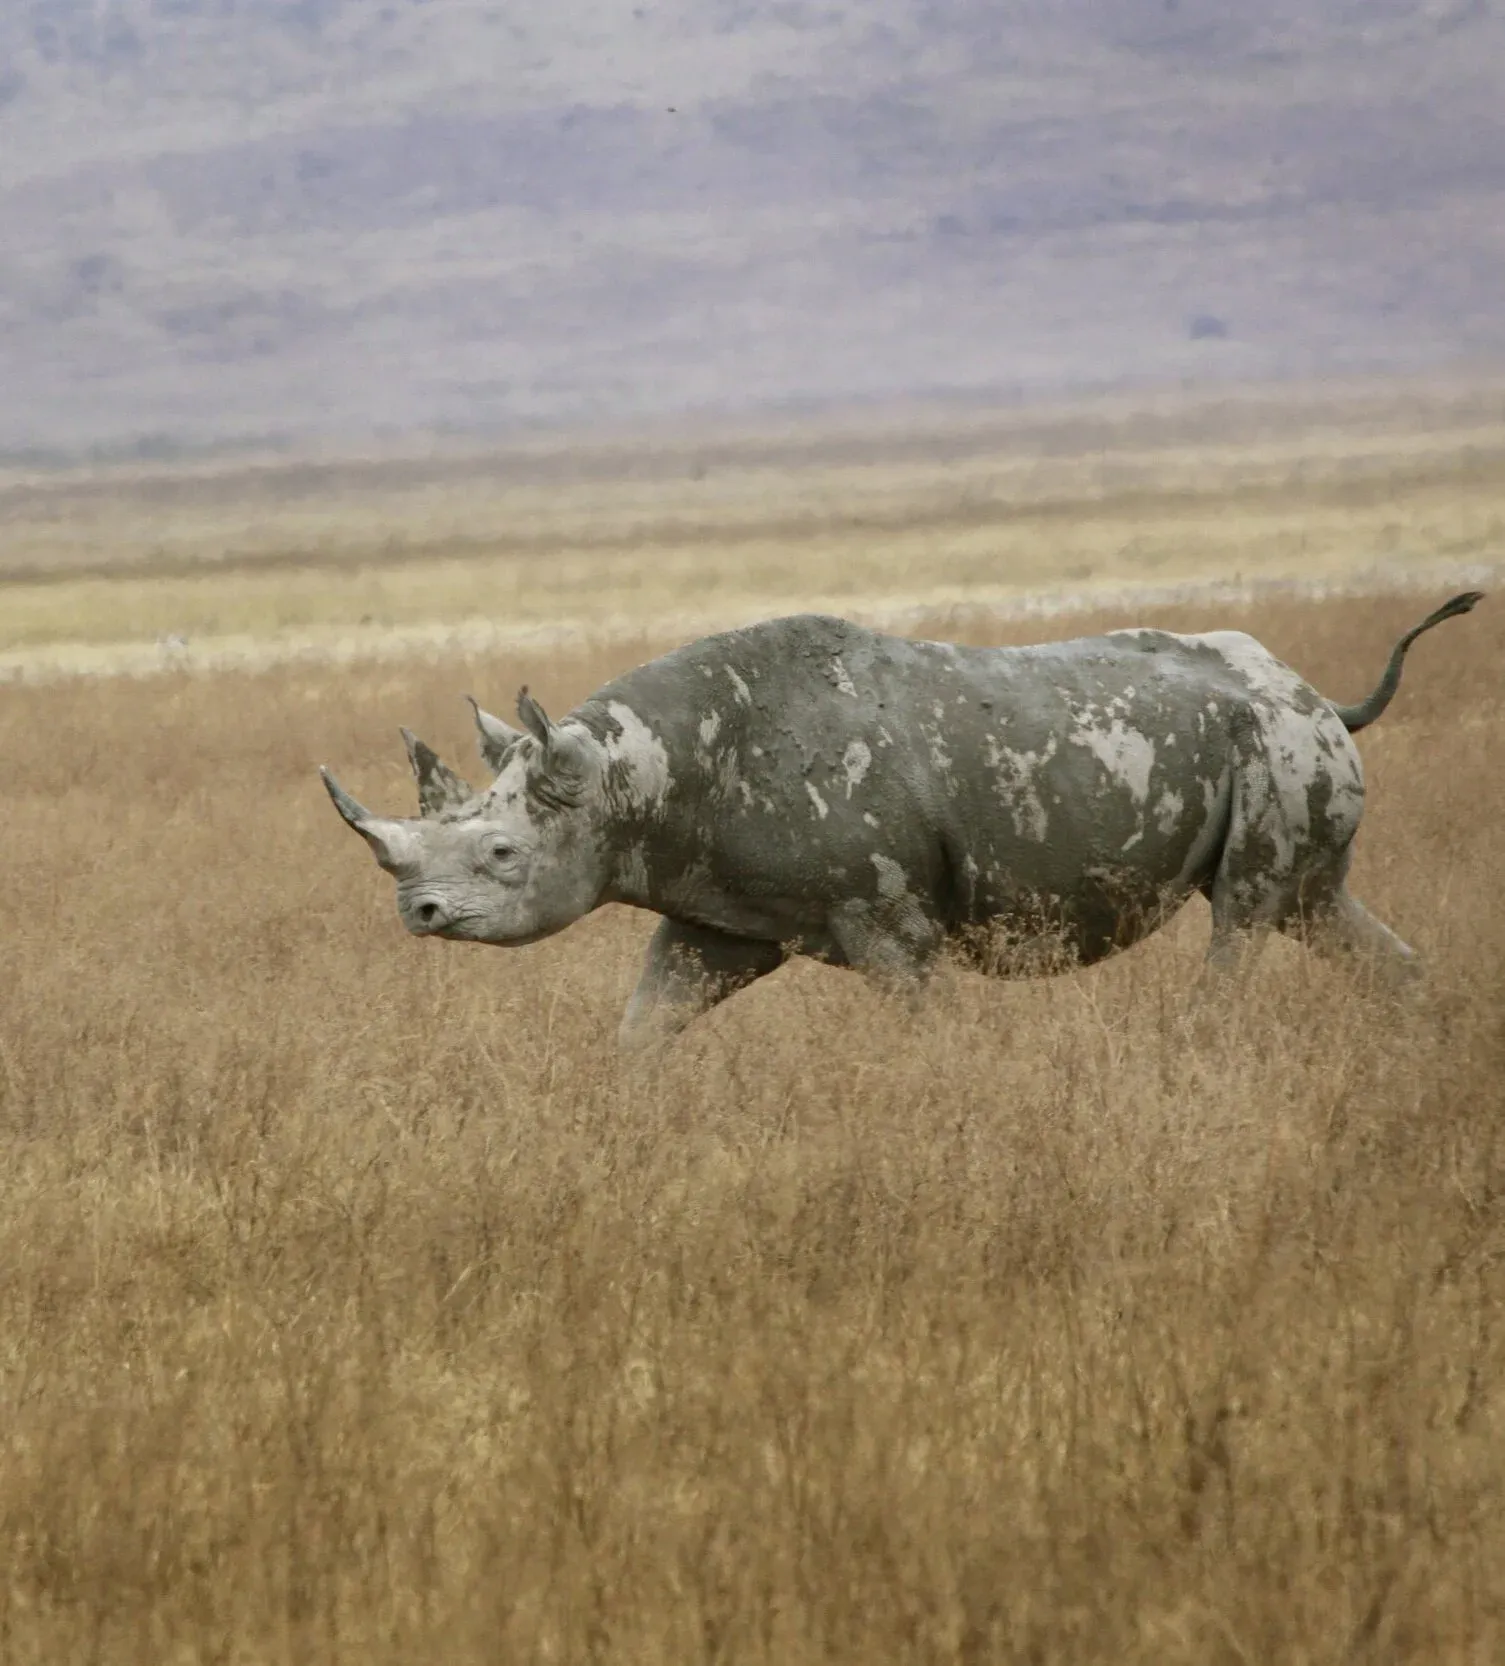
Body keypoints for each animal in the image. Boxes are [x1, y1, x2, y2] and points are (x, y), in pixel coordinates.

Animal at [322, 592, 1481, 1047]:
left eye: (501, 852)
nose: (418, 913)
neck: (627, 782)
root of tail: (1318, 695)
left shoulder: (886, 918)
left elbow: (929, 1022)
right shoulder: (717, 912)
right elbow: (646, 1022)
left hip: (1274, 745)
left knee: (1244, 914)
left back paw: (1204, 1041)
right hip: (1281, 748)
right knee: (1315, 906)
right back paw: (1419, 1029)